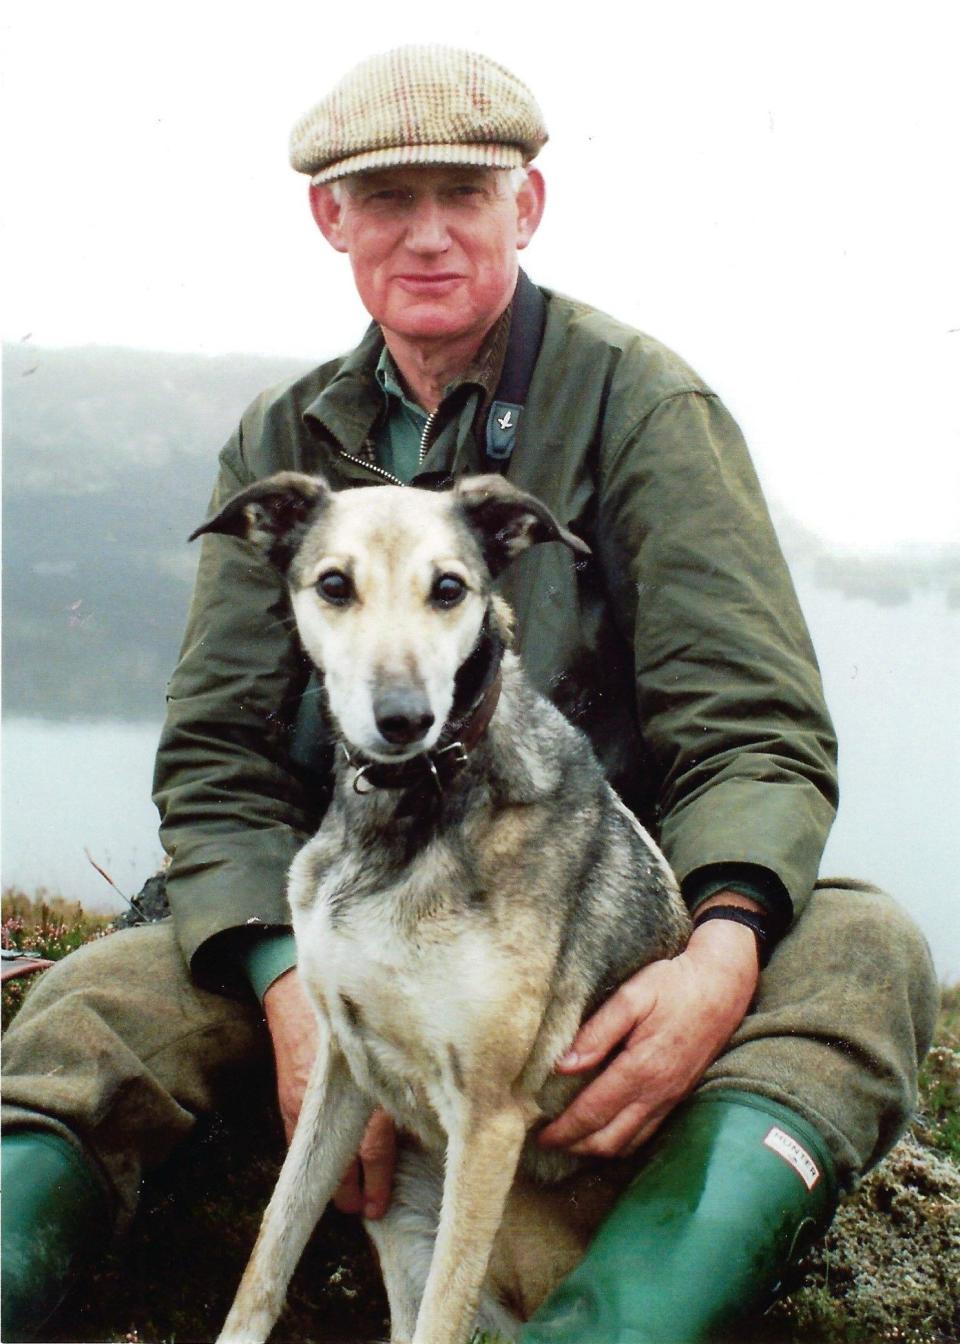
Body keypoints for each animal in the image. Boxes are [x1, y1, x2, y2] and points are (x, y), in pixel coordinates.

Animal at [194, 473, 688, 1344]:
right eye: (334, 585)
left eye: (450, 589)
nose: (403, 718)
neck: (412, 811)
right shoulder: (342, 1061)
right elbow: (272, 1245)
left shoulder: (489, 1121)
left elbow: (440, 1318)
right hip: (402, 1211)